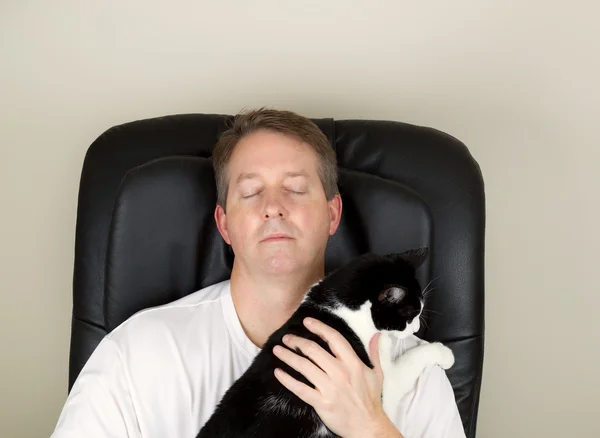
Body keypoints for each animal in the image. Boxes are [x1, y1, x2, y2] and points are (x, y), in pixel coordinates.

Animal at [197, 250, 454, 438]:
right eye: (411, 314)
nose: (416, 328)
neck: (341, 308)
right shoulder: (386, 382)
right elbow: (412, 359)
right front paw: (444, 353)